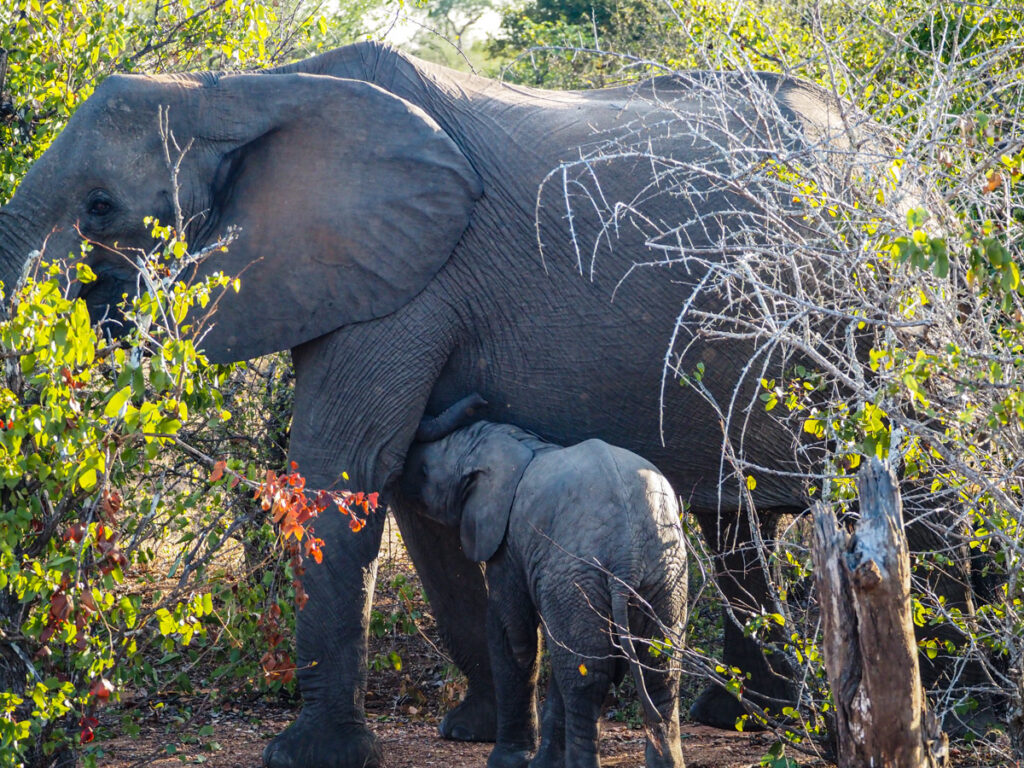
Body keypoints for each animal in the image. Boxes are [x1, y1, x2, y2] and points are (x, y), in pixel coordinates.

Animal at [403, 399, 684, 765]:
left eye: (424, 472)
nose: (478, 399)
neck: (514, 444)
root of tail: (627, 555)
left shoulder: (508, 540)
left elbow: (513, 633)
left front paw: (507, 762)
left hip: (579, 574)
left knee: (586, 677)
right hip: (664, 575)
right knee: (659, 671)